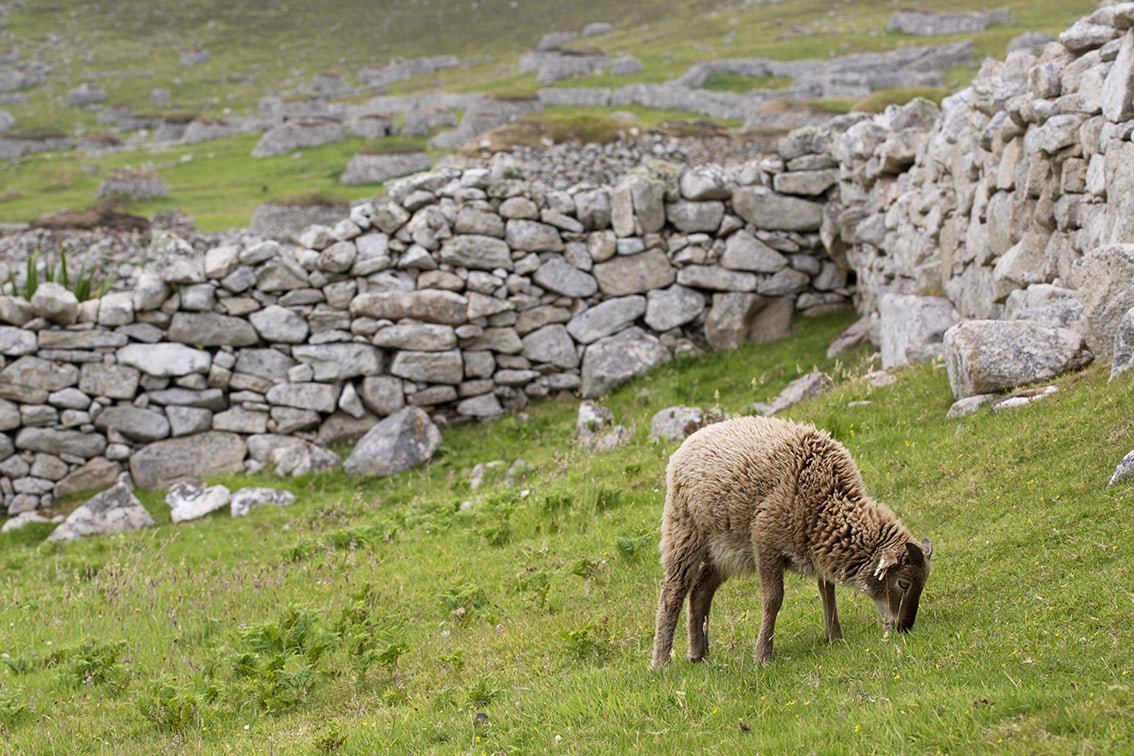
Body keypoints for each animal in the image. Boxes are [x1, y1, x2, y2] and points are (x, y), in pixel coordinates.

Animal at [653, 414, 934, 666]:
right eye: (903, 583)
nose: (904, 627)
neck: (826, 500)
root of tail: (689, 443)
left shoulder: (817, 544)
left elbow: (827, 589)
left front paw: (834, 637)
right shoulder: (765, 542)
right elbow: (773, 598)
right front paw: (763, 656)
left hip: (726, 550)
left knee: (701, 590)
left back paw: (697, 654)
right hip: (685, 532)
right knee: (673, 592)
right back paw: (661, 662)